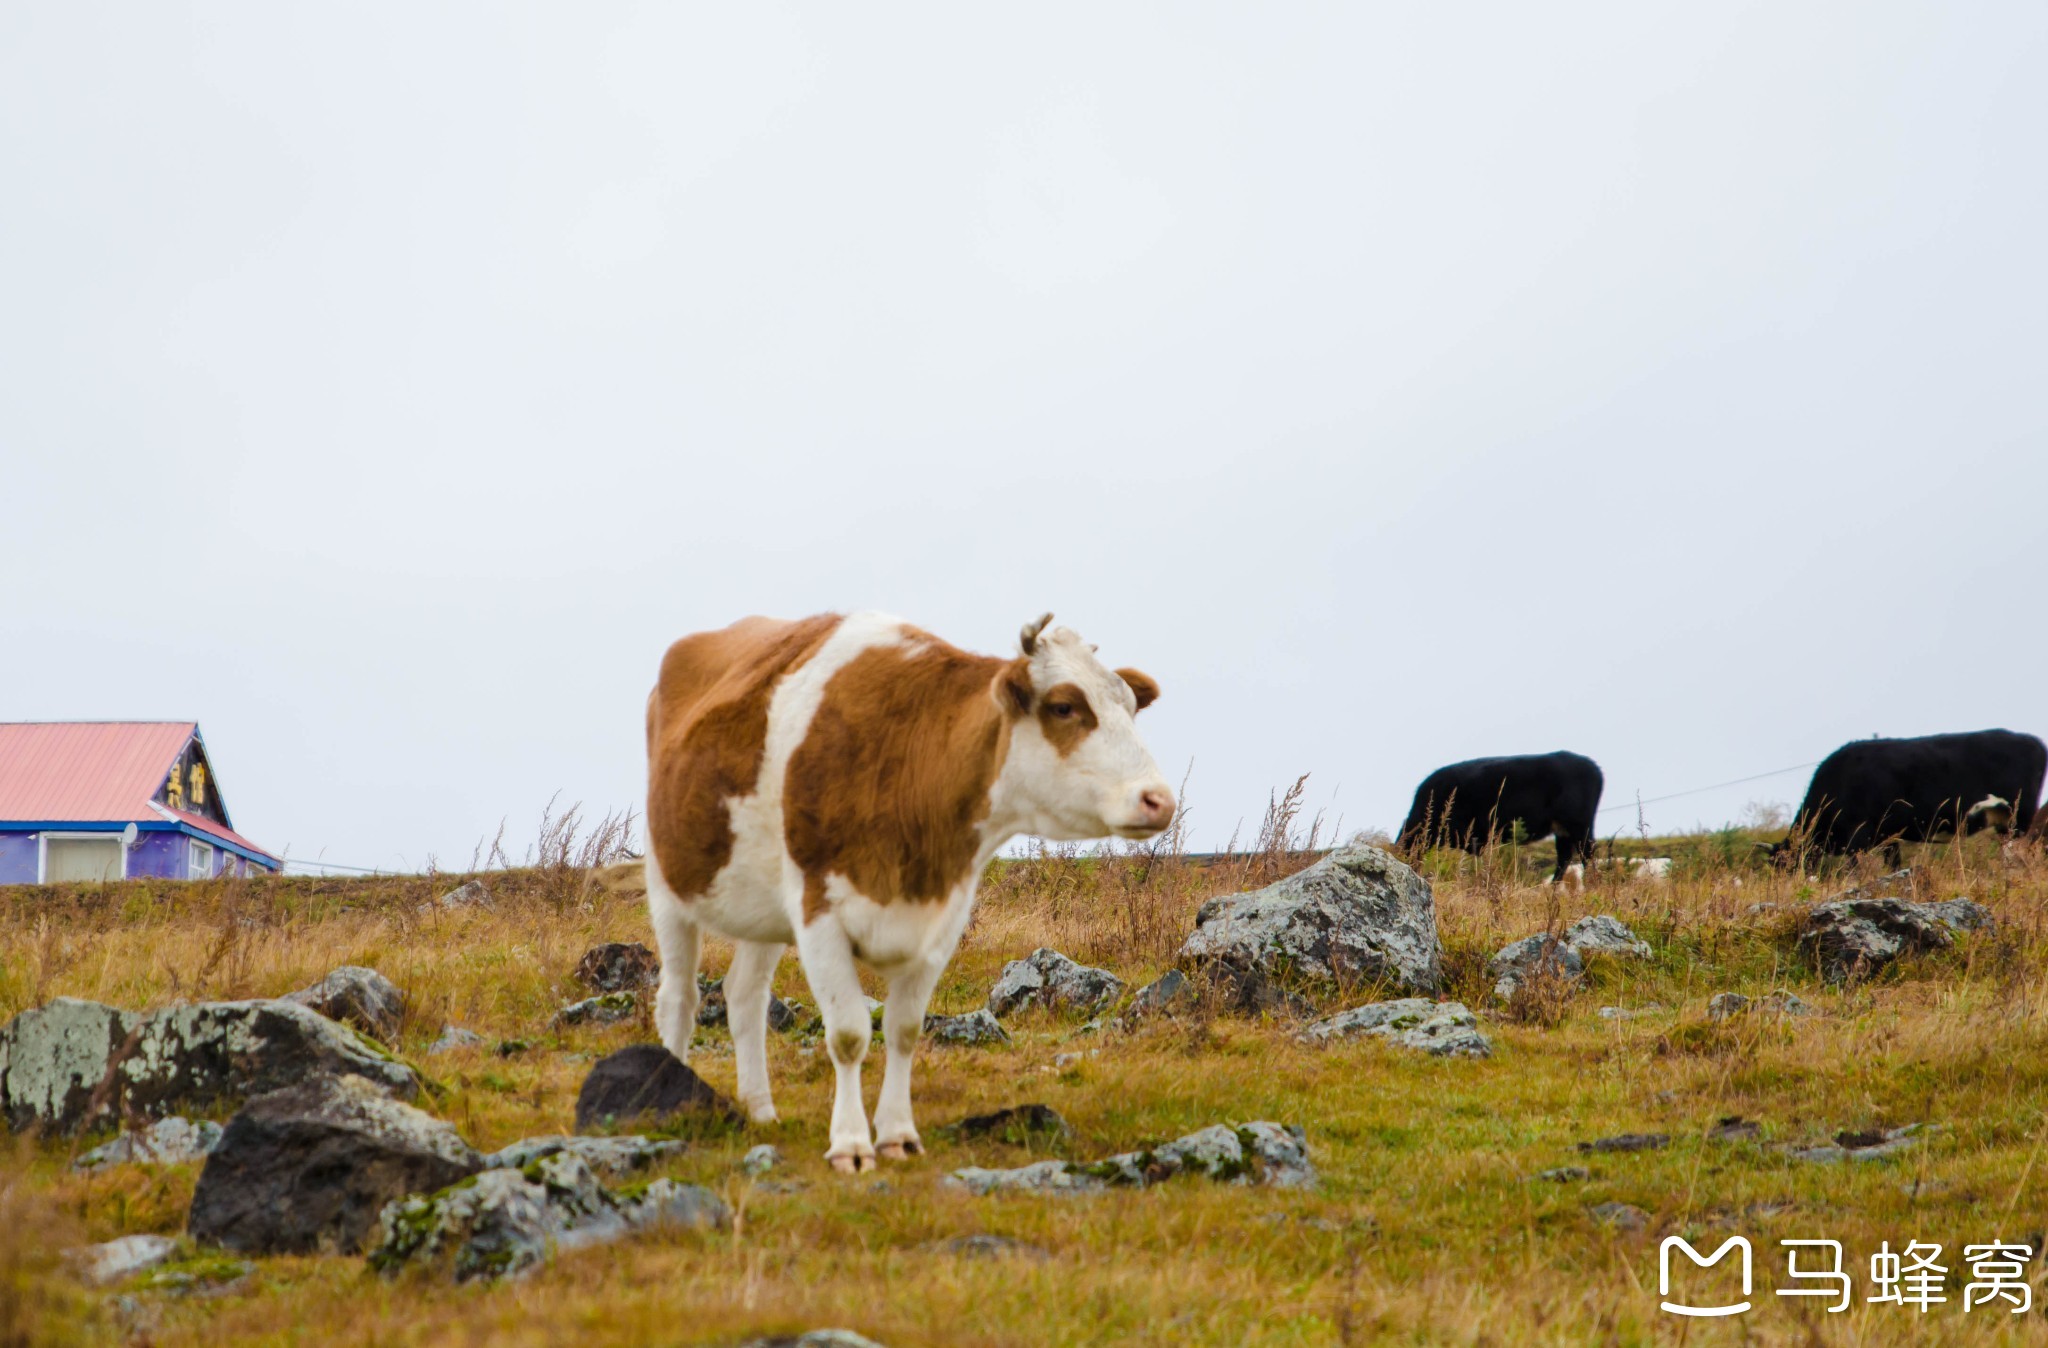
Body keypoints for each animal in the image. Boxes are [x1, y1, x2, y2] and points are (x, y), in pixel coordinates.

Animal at [647, 610, 1179, 1163]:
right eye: (1064, 707)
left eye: (1131, 707)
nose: (1158, 799)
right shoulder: (818, 913)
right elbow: (848, 1034)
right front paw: (851, 1144)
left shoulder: (941, 924)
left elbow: (903, 1031)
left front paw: (897, 1135)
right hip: (667, 885)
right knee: (679, 999)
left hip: (762, 911)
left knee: (744, 996)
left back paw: (760, 1111)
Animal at [1769, 729, 2039, 864]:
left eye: (1786, 864)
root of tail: (2032, 740)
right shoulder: (1888, 837)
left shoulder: (1857, 836)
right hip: (2005, 823)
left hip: (2020, 817)